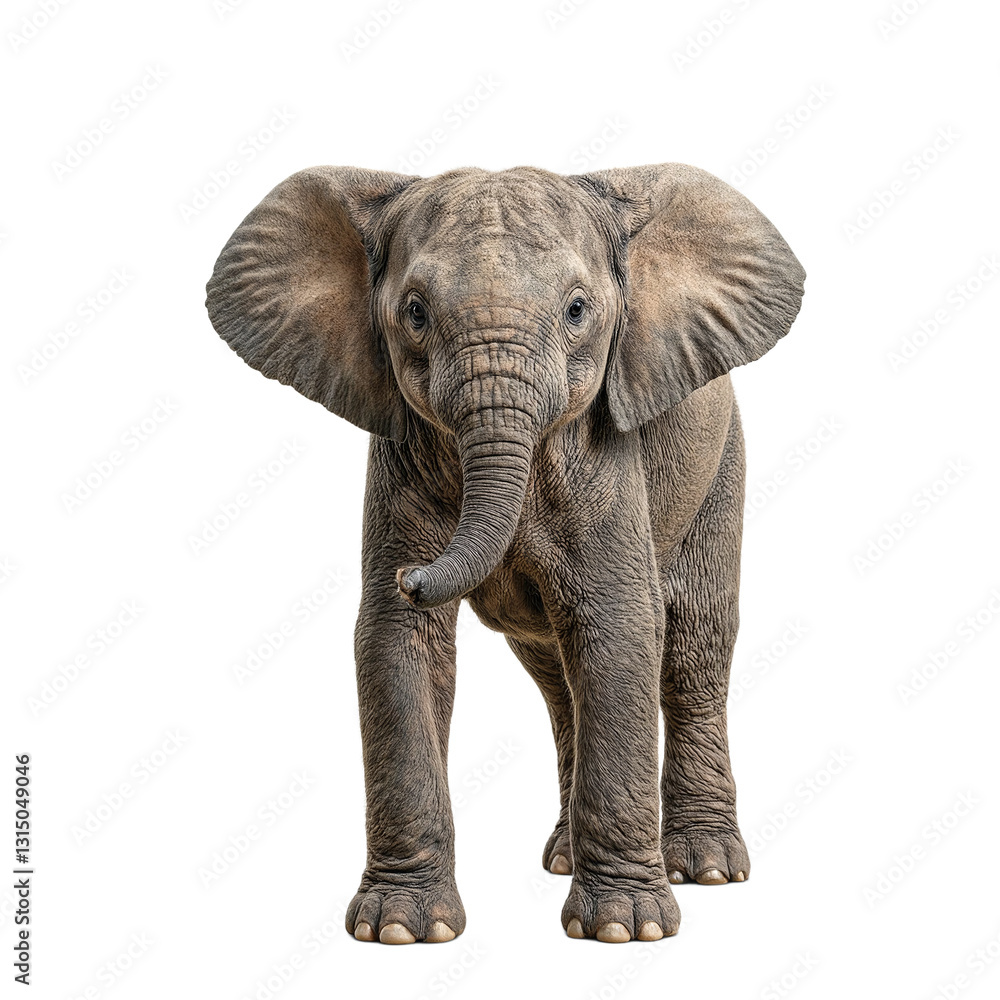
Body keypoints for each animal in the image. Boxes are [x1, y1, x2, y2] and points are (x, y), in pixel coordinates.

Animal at [206, 162, 805, 945]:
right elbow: (397, 641)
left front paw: (625, 930)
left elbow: (620, 626)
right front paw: (400, 931)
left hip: (722, 461)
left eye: (578, 310)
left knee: (692, 651)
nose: (411, 573)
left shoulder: (605, 455)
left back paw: (704, 869)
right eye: (415, 313)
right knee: (556, 677)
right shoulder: (401, 456)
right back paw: (565, 855)